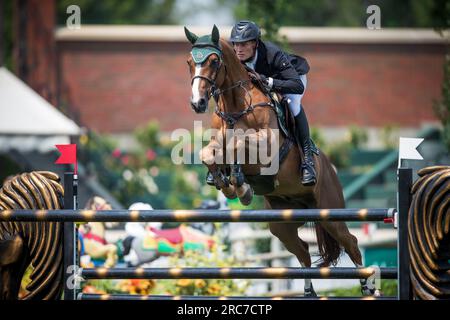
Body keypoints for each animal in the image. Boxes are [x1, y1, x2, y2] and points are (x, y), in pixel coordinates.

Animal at [185, 26, 378, 296]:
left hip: (330, 212)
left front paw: (240, 187)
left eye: (214, 62)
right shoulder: (217, 142)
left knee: (351, 242)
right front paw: (225, 182)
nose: (197, 103)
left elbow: (237, 144)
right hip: (282, 222)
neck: (236, 104)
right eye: (190, 62)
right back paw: (309, 292)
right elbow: (209, 153)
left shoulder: (267, 147)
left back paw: (368, 287)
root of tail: (331, 169)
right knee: (303, 251)